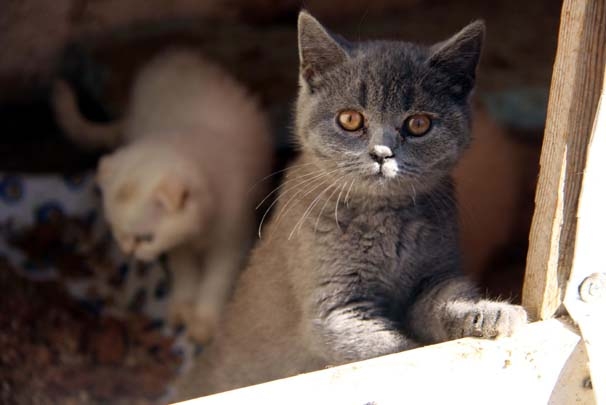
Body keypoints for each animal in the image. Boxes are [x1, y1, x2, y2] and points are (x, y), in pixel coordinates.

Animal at [53, 49, 274, 342]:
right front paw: (181, 308)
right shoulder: (179, 246)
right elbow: (187, 275)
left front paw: (203, 322)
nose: (129, 251)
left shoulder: (231, 243)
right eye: (117, 233)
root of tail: (171, 56)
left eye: (146, 238)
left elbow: (215, 282)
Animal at [175, 11, 528, 400]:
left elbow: (445, 298)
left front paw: (485, 314)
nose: (382, 153)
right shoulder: (335, 309)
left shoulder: (436, 274)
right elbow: (395, 350)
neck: (385, 219)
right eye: (350, 119)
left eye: (418, 124)